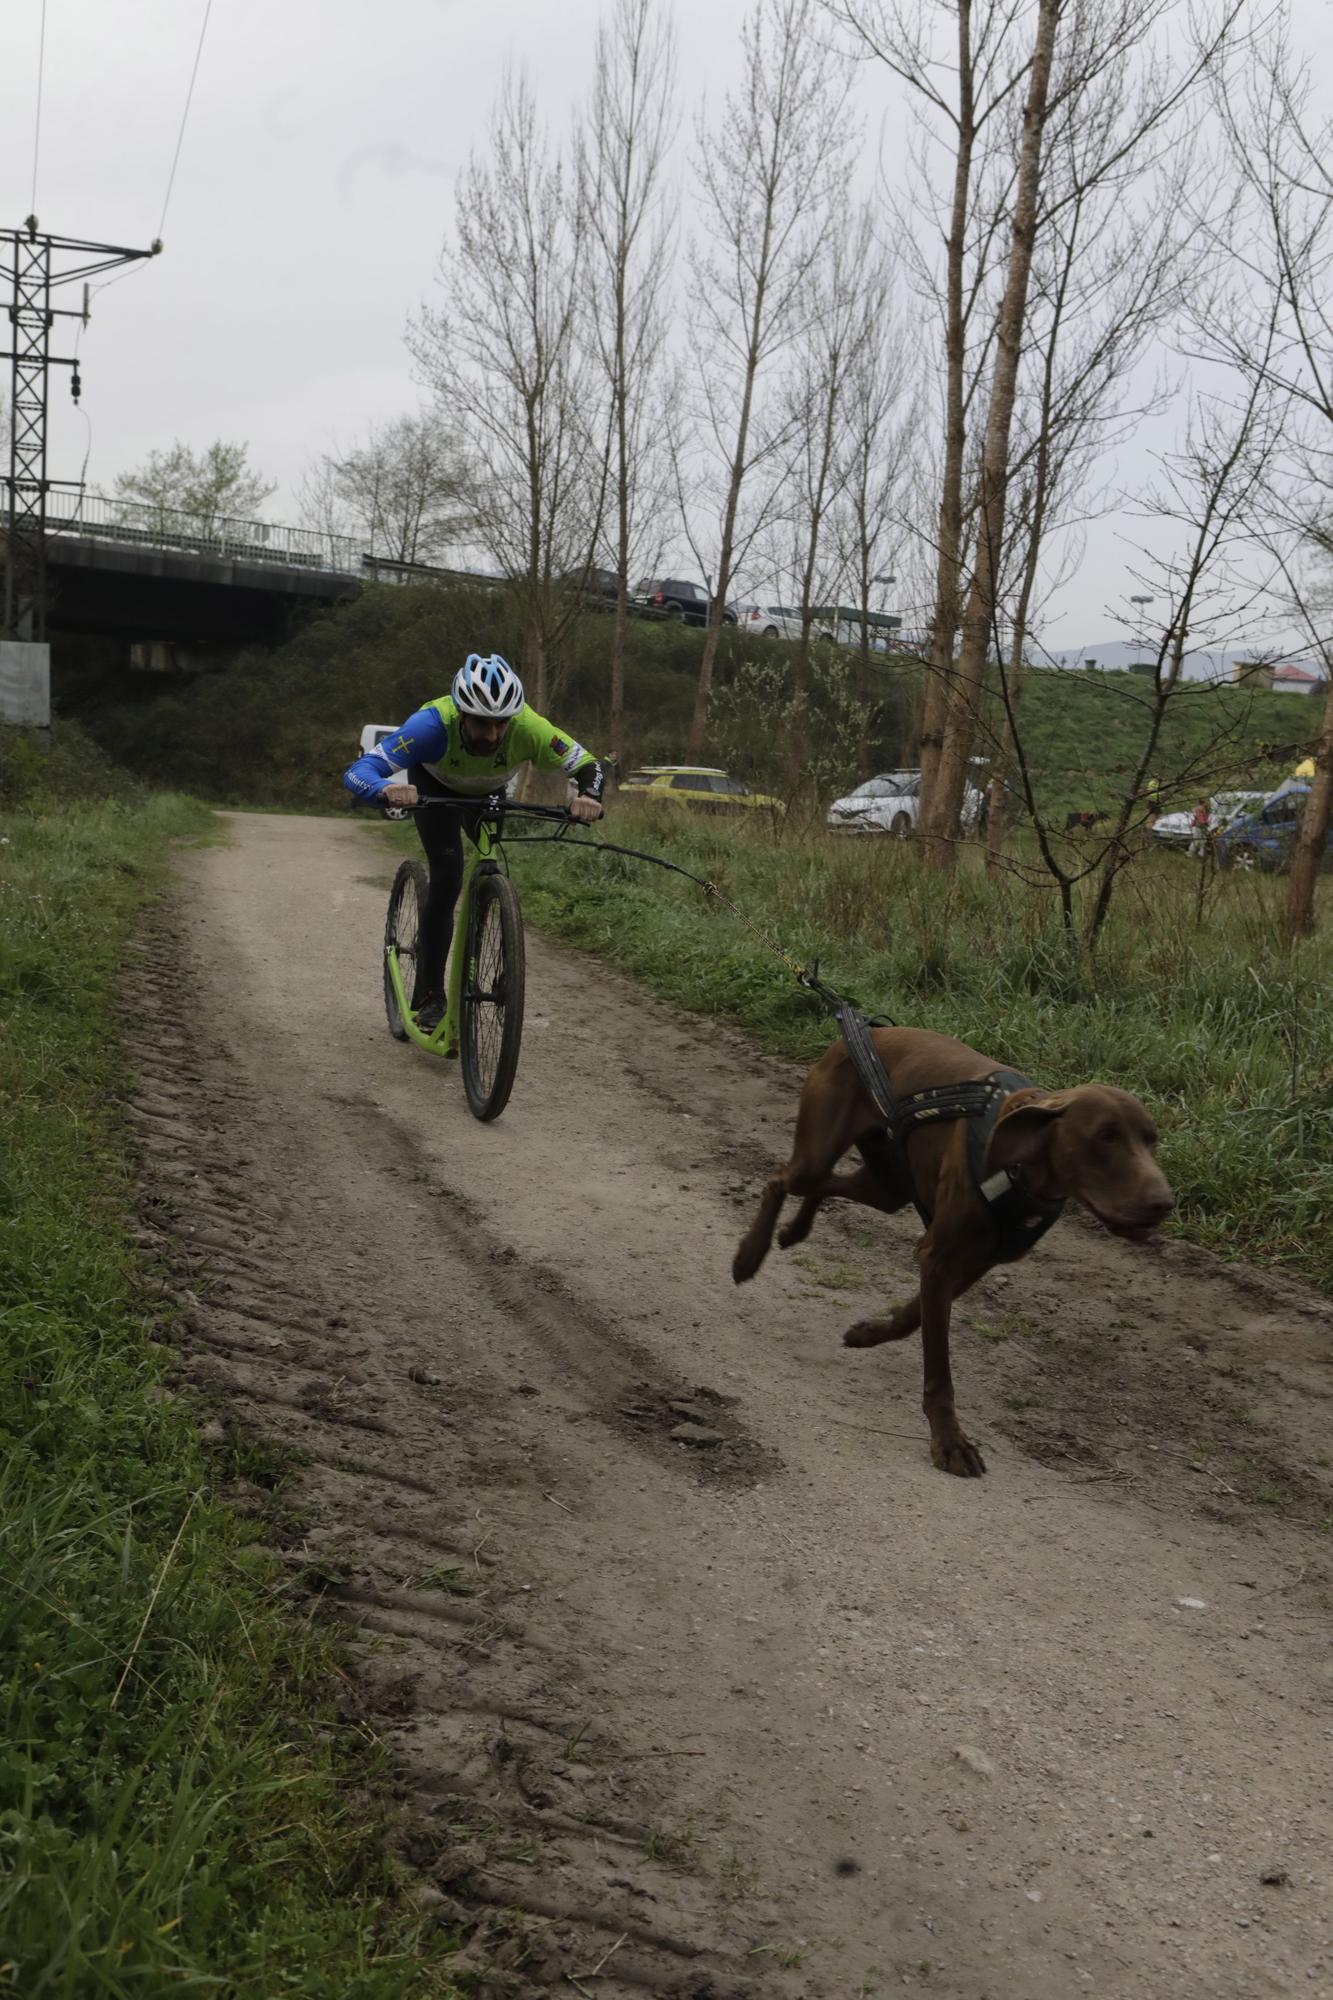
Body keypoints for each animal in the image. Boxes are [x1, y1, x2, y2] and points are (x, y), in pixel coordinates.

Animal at [732, 1032, 1168, 1472]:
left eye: (1153, 1141)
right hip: (823, 1155)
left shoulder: (976, 1261)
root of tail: (863, 1032)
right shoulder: (940, 1257)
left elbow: (912, 1318)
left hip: (888, 1186)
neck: (1021, 1170)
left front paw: (870, 1333)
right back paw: (749, 1256)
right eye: (1105, 1136)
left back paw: (794, 1231)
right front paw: (950, 1441)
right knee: (781, 1178)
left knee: (825, 1185)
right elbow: (939, 1368)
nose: (1164, 1203)